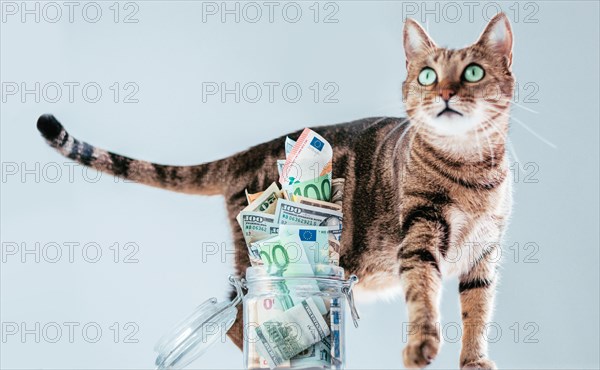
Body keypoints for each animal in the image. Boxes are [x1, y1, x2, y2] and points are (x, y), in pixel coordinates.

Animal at [37, 13, 512, 368]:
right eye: (428, 76)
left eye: (473, 73)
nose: (445, 93)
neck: (473, 171)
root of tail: (249, 152)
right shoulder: (419, 237)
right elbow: (423, 297)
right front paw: (420, 349)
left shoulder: (485, 253)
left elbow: (478, 311)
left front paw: (475, 362)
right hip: (252, 260)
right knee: (235, 320)